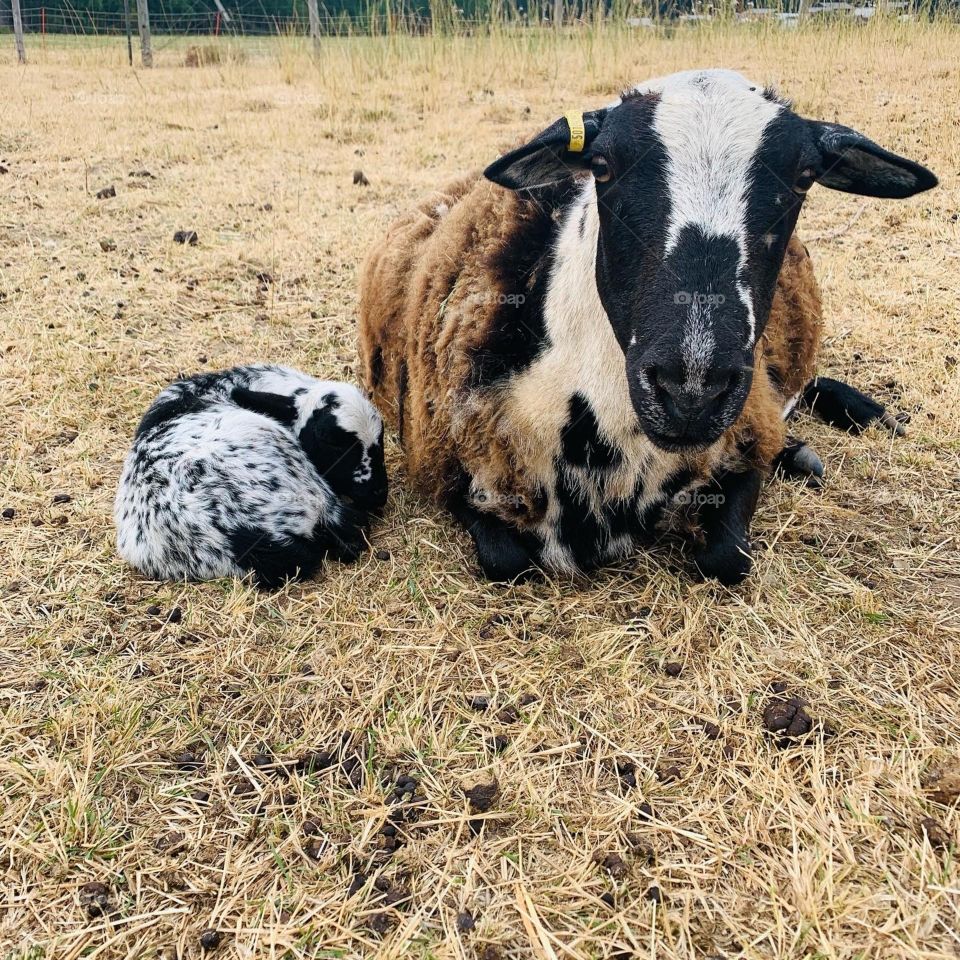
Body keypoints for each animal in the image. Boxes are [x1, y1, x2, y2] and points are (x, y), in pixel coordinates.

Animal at [359, 69, 936, 584]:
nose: (691, 390)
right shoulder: (441, 462)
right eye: (602, 166)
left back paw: (868, 421)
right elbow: (506, 561)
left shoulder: (749, 428)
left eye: (802, 178)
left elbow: (728, 558)